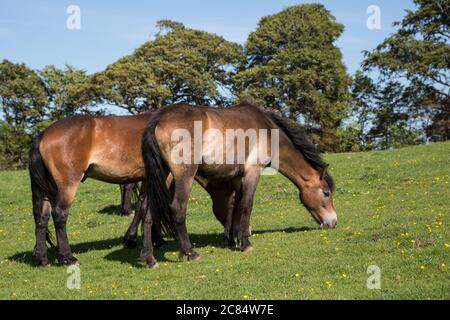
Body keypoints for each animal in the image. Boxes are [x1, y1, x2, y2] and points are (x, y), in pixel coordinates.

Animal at [28, 112, 237, 264]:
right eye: (233, 201)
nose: (230, 237)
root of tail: (43, 134)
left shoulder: (147, 180)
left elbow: (145, 208)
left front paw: (147, 239)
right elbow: (148, 208)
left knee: (41, 216)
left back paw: (41, 258)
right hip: (67, 186)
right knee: (59, 215)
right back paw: (67, 257)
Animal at [142, 102, 338, 268]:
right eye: (326, 193)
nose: (333, 222)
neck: (267, 130)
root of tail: (159, 119)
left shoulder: (236, 177)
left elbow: (233, 206)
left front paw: (231, 239)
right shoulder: (253, 171)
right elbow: (246, 204)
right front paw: (245, 242)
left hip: (161, 177)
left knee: (148, 212)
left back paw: (150, 259)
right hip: (184, 177)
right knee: (178, 208)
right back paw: (190, 252)